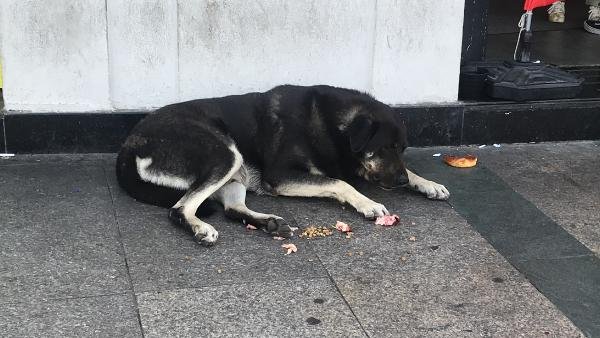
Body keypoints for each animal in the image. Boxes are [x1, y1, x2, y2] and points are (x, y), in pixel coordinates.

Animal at [116, 83, 450, 244]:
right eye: (382, 149)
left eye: (402, 149)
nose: (401, 183)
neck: (333, 125)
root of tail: (130, 143)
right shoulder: (281, 175)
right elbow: (339, 182)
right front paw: (368, 203)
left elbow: (409, 170)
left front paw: (428, 183)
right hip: (226, 154)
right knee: (180, 208)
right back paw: (200, 228)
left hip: (236, 172)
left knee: (231, 208)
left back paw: (269, 223)